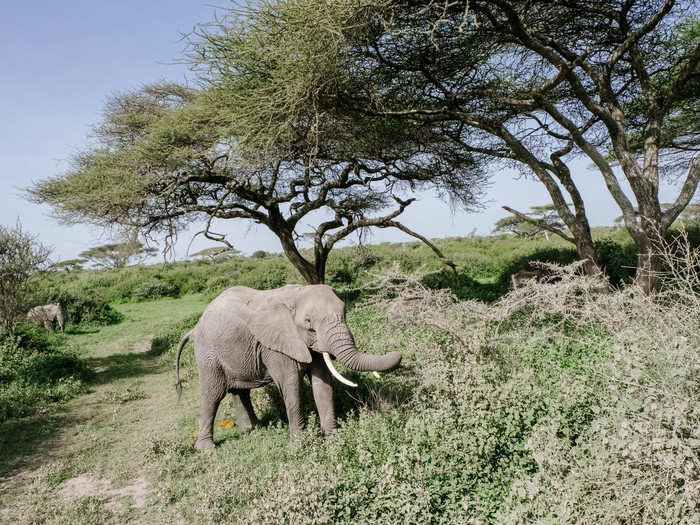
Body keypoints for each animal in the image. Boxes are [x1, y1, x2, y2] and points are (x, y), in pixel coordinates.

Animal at [175, 284, 402, 448]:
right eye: (309, 322)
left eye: (345, 314)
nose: (399, 354)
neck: (296, 294)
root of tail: (194, 328)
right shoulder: (275, 346)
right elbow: (291, 385)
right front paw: (301, 445)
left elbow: (323, 383)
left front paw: (333, 437)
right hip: (208, 354)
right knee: (213, 394)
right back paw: (207, 449)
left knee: (240, 391)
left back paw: (253, 429)